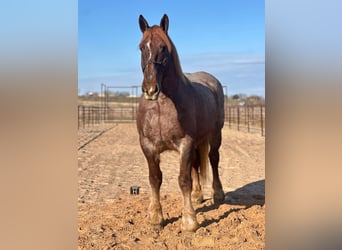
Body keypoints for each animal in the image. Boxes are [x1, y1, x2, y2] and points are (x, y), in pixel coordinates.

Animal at [136, 14, 227, 232]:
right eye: (142, 47)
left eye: (163, 47)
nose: (150, 89)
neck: (162, 106)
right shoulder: (148, 146)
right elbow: (155, 179)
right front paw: (156, 217)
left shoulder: (185, 143)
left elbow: (183, 179)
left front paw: (189, 221)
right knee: (196, 164)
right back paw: (197, 195)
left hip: (215, 135)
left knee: (213, 159)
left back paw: (218, 194)